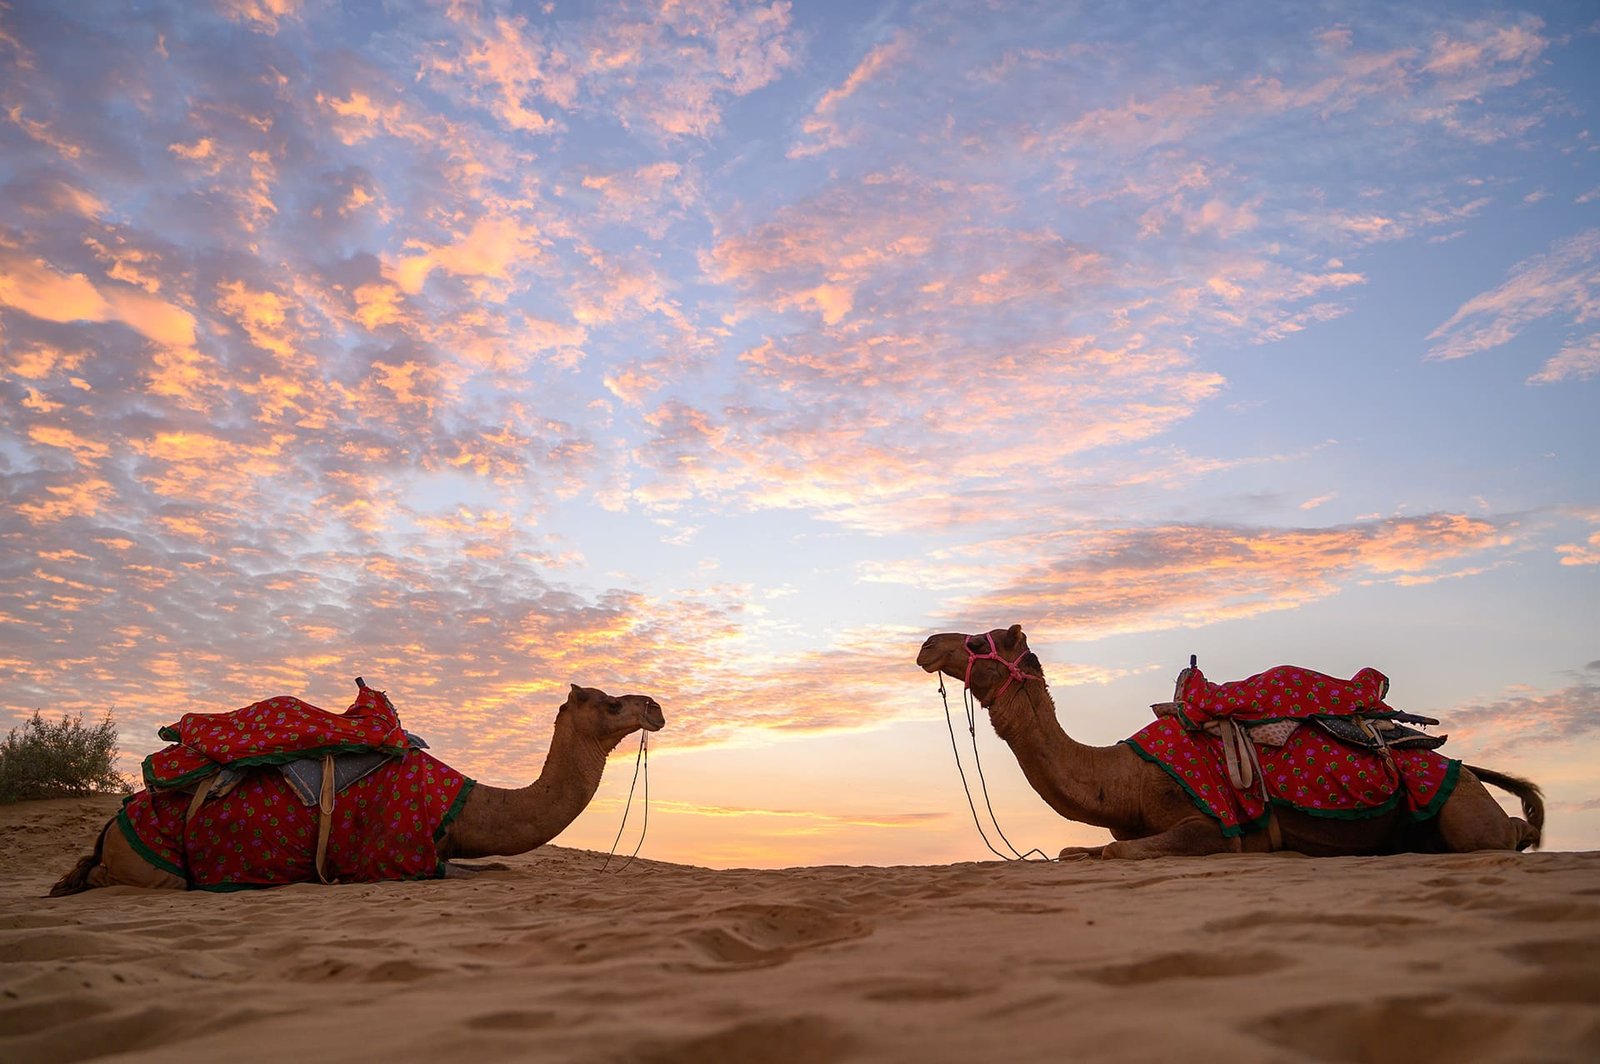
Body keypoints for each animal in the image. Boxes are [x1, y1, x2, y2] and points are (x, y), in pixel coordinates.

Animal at [50, 684, 664, 894]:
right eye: (612, 703)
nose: (655, 706)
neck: (463, 806)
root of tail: (111, 828)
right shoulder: (397, 857)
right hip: (151, 866)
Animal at [917, 625, 1544, 859]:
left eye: (980, 640)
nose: (926, 644)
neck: (1123, 778)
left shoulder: (1211, 824)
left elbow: (1122, 852)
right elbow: (1081, 851)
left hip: (1461, 809)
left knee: (1503, 834)